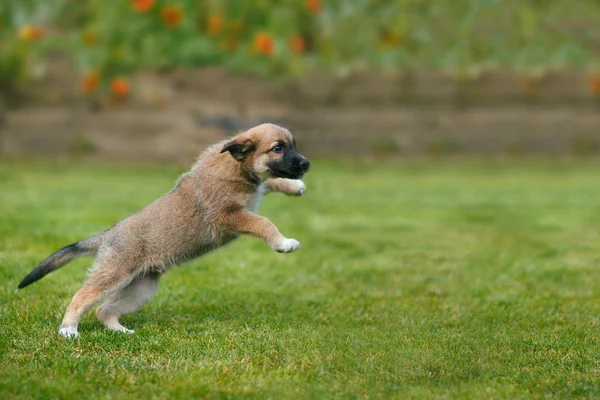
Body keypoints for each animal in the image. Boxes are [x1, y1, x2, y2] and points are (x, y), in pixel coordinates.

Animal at [17, 122, 310, 338]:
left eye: (294, 145)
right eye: (277, 148)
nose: (306, 164)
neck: (237, 166)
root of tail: (107, 235)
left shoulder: (251, 196)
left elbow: (270, 182)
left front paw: (294, 187)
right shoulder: (227, 216)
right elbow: (264, 222)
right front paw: (284, 243)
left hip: (140, 290)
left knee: (103, 310)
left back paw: (119, 331)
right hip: (114, 274)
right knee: (82, 296)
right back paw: (68, 329)